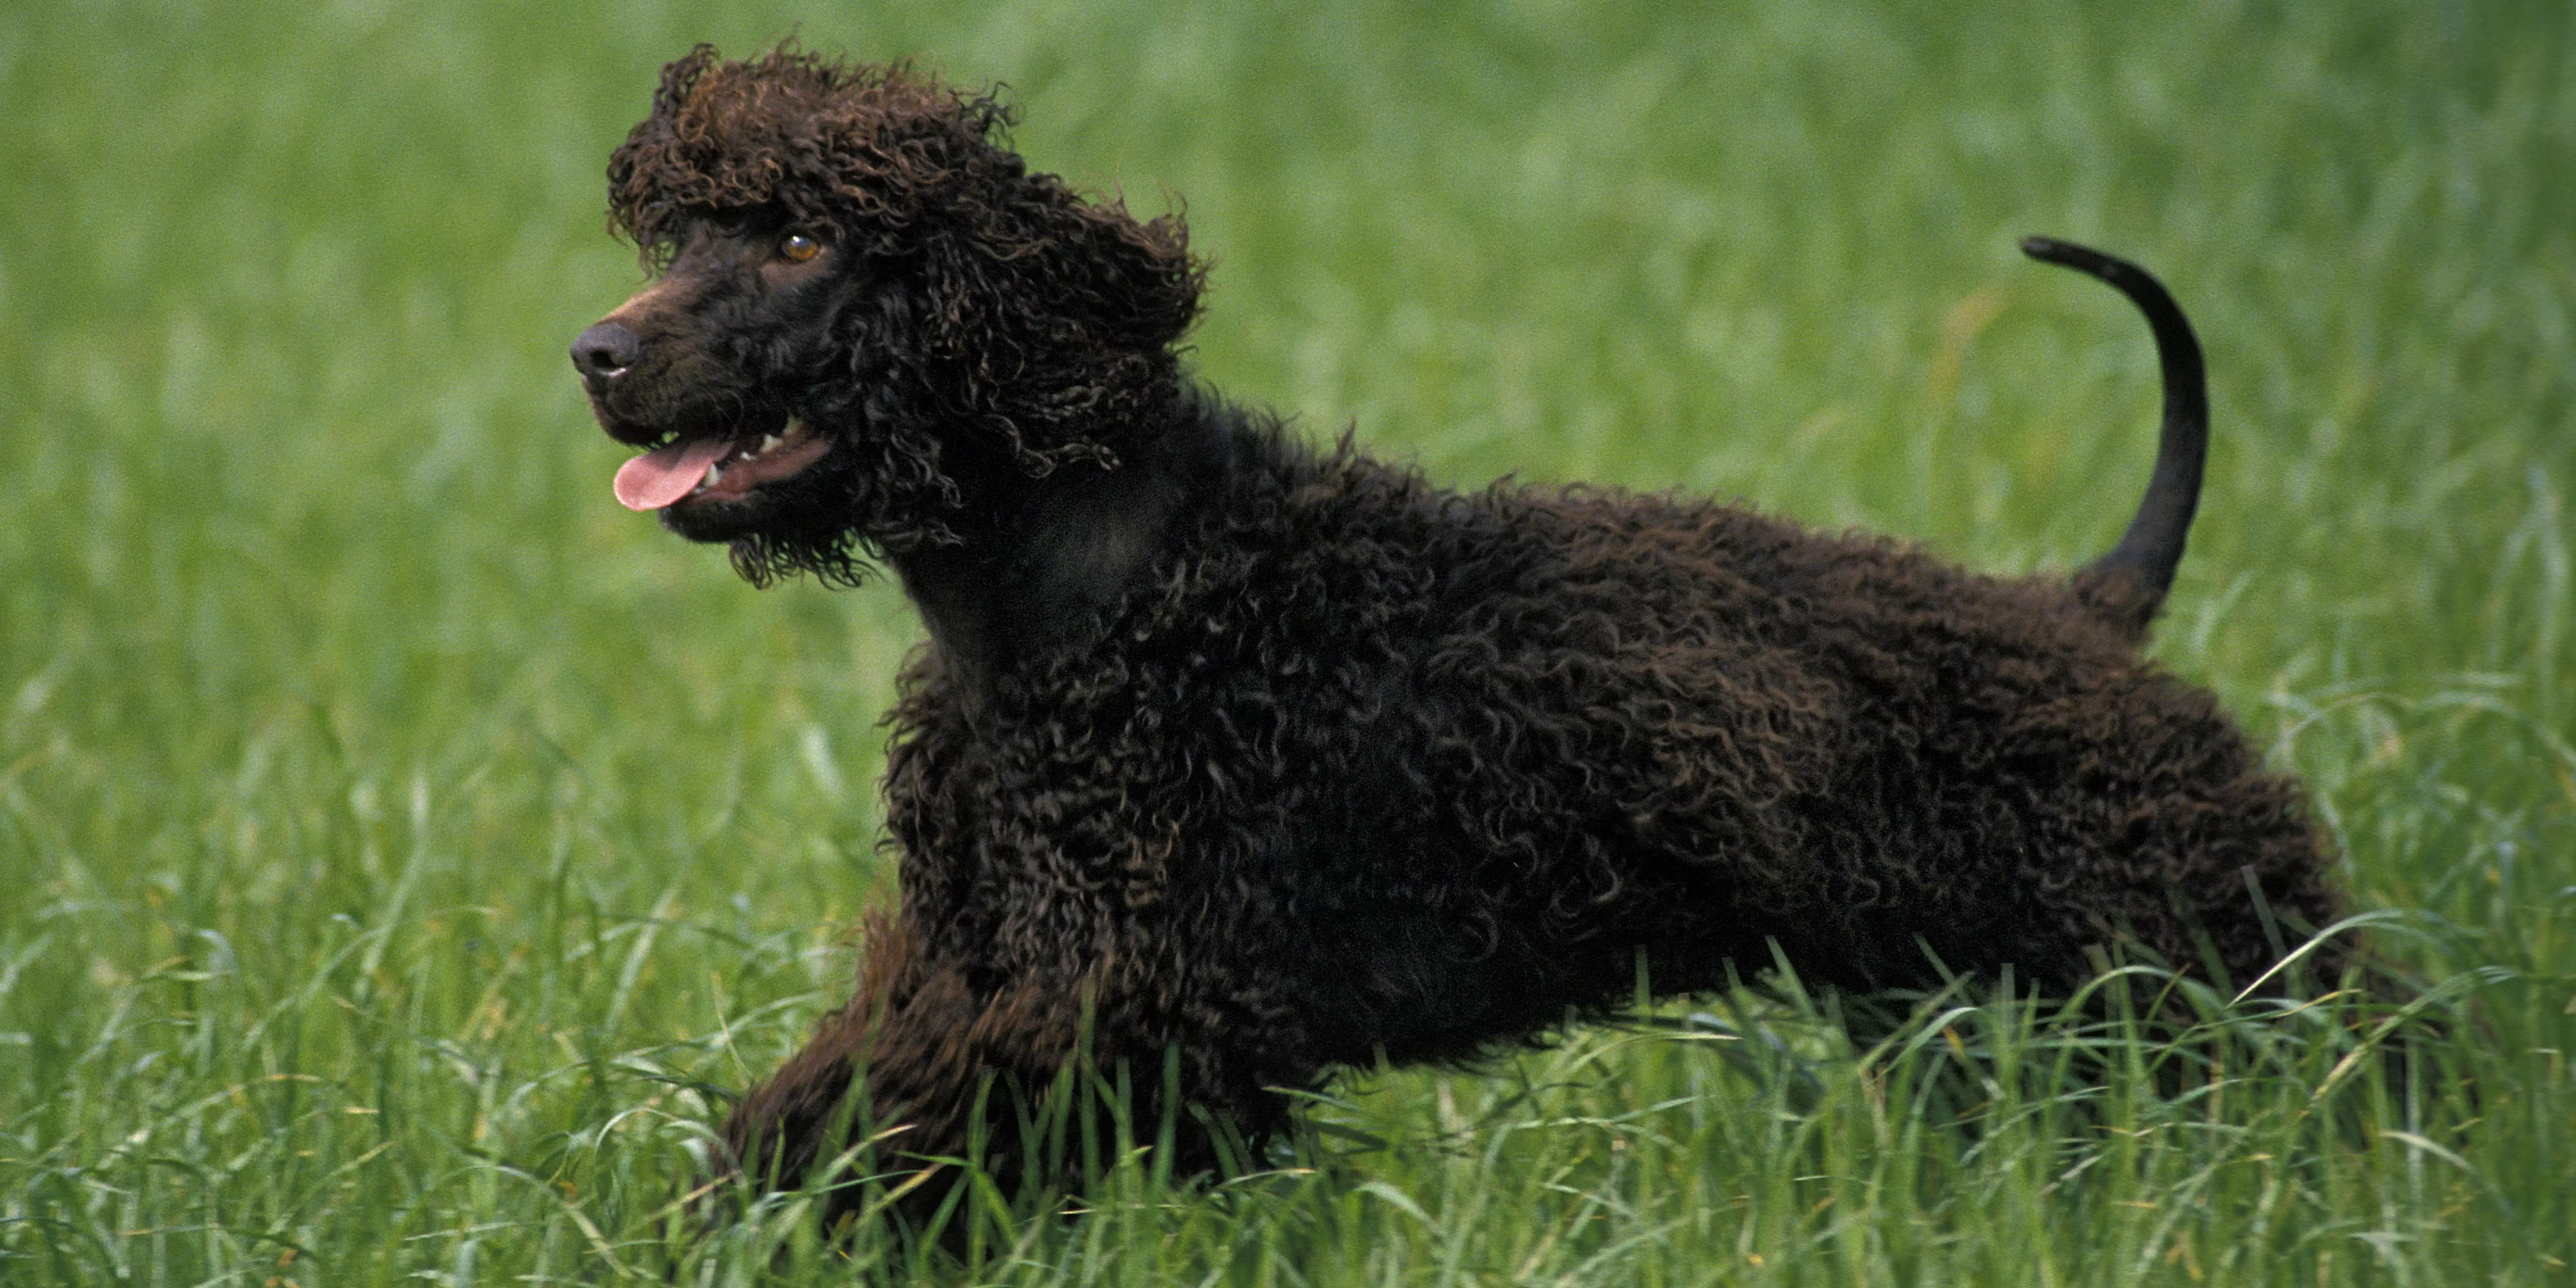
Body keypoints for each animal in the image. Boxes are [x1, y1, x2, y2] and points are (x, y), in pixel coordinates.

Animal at [574, 45, 2349, 1216]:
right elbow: (816, 1109)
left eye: (805, 239)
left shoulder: (1131, 1001)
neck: (1086, 591)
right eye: (687, 237)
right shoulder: (982, 957)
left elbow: (900, 1123)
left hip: (2204, 934)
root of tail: (2079, 604)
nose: (595, 351)